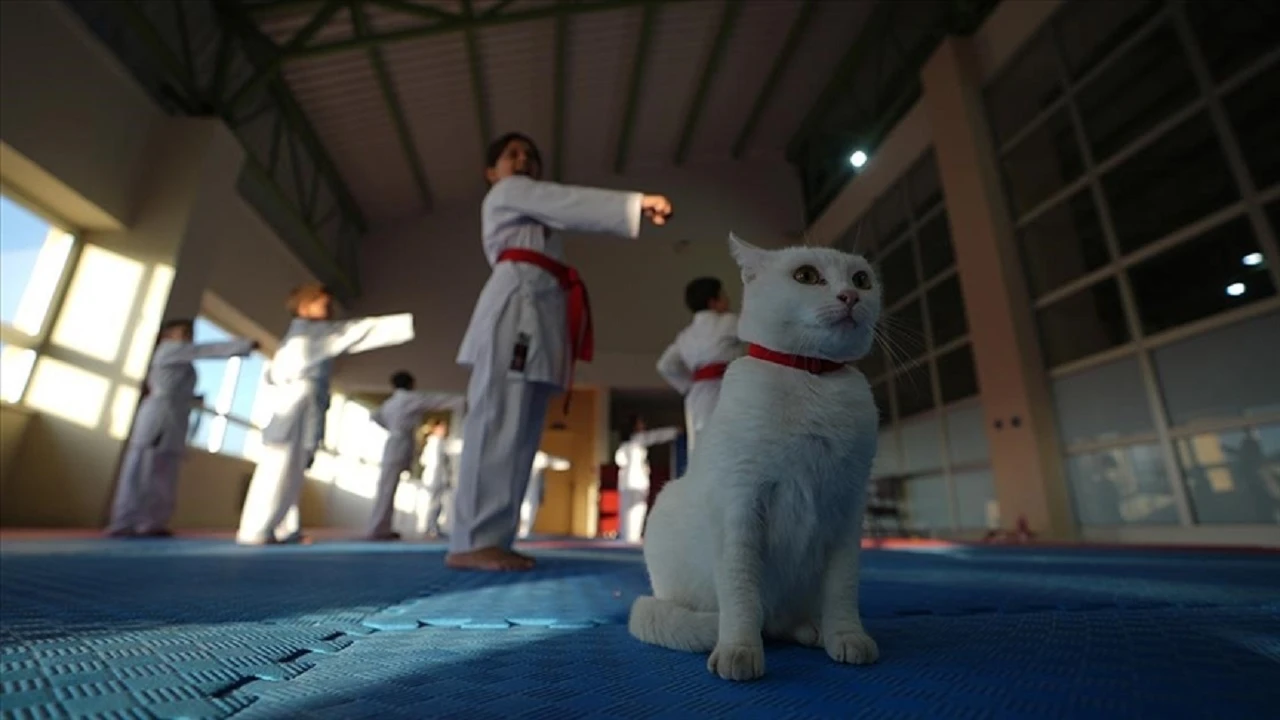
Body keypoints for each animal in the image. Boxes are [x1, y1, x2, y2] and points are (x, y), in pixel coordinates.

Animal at [627, 230, 880, 676]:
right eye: (806, 275)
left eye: (862, 279)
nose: (850, 295)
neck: (812, 376)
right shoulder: (740, 503)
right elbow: (742, 592)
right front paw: (739, 651)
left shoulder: (848, 509)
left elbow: (842, 589)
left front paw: (847, 637)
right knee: (756, 615)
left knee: (783, 619)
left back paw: (813, 630)